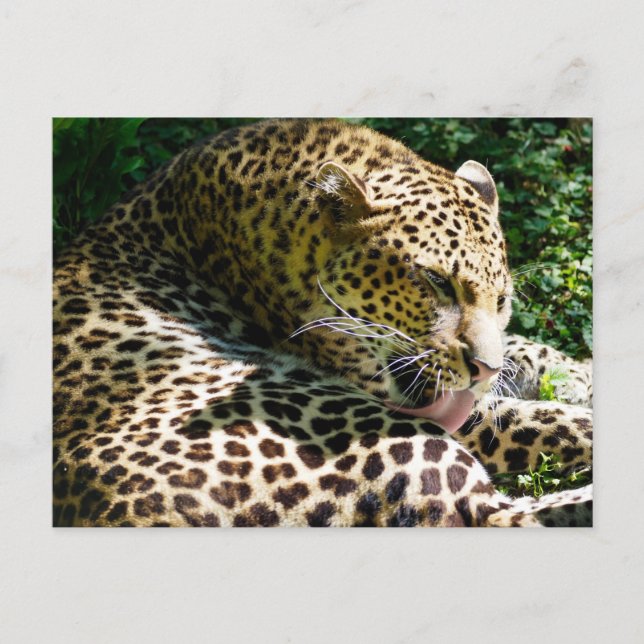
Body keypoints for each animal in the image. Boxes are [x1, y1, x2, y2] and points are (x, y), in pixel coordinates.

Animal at [53, 118, 593, 527]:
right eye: (437, 282)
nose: (483, 371)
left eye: (501, 300)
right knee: (498, 515)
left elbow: (523, 347)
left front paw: (576, 374)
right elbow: (540, 420)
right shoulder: (426, 403)